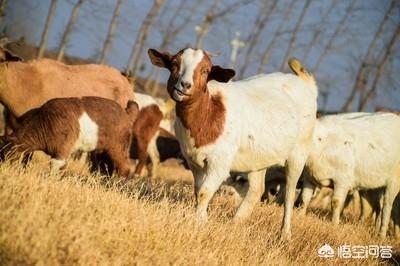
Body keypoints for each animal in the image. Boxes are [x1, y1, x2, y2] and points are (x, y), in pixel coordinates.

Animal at [0, 96, 139, 177]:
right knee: (105, 168)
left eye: (6, 153)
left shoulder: (63, 148)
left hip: (118, 148)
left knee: (124, 168)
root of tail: (126, 113)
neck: (43, 121)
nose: (3, 169)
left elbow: (55, 165)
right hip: (102, 151)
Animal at [148, 47, 318, 239]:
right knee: (257, 189)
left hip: (299, 152)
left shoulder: (220, 163)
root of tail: (306, 85)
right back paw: (236, 222)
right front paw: (203, 219)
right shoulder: (194, 162)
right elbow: (198, 190)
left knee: (289, 193)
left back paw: (285, 234)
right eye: (175, 65)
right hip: (258, 157)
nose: (184, 85)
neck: (210, 113)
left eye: (205, 71)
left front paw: (198, 222)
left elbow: (204, 192)